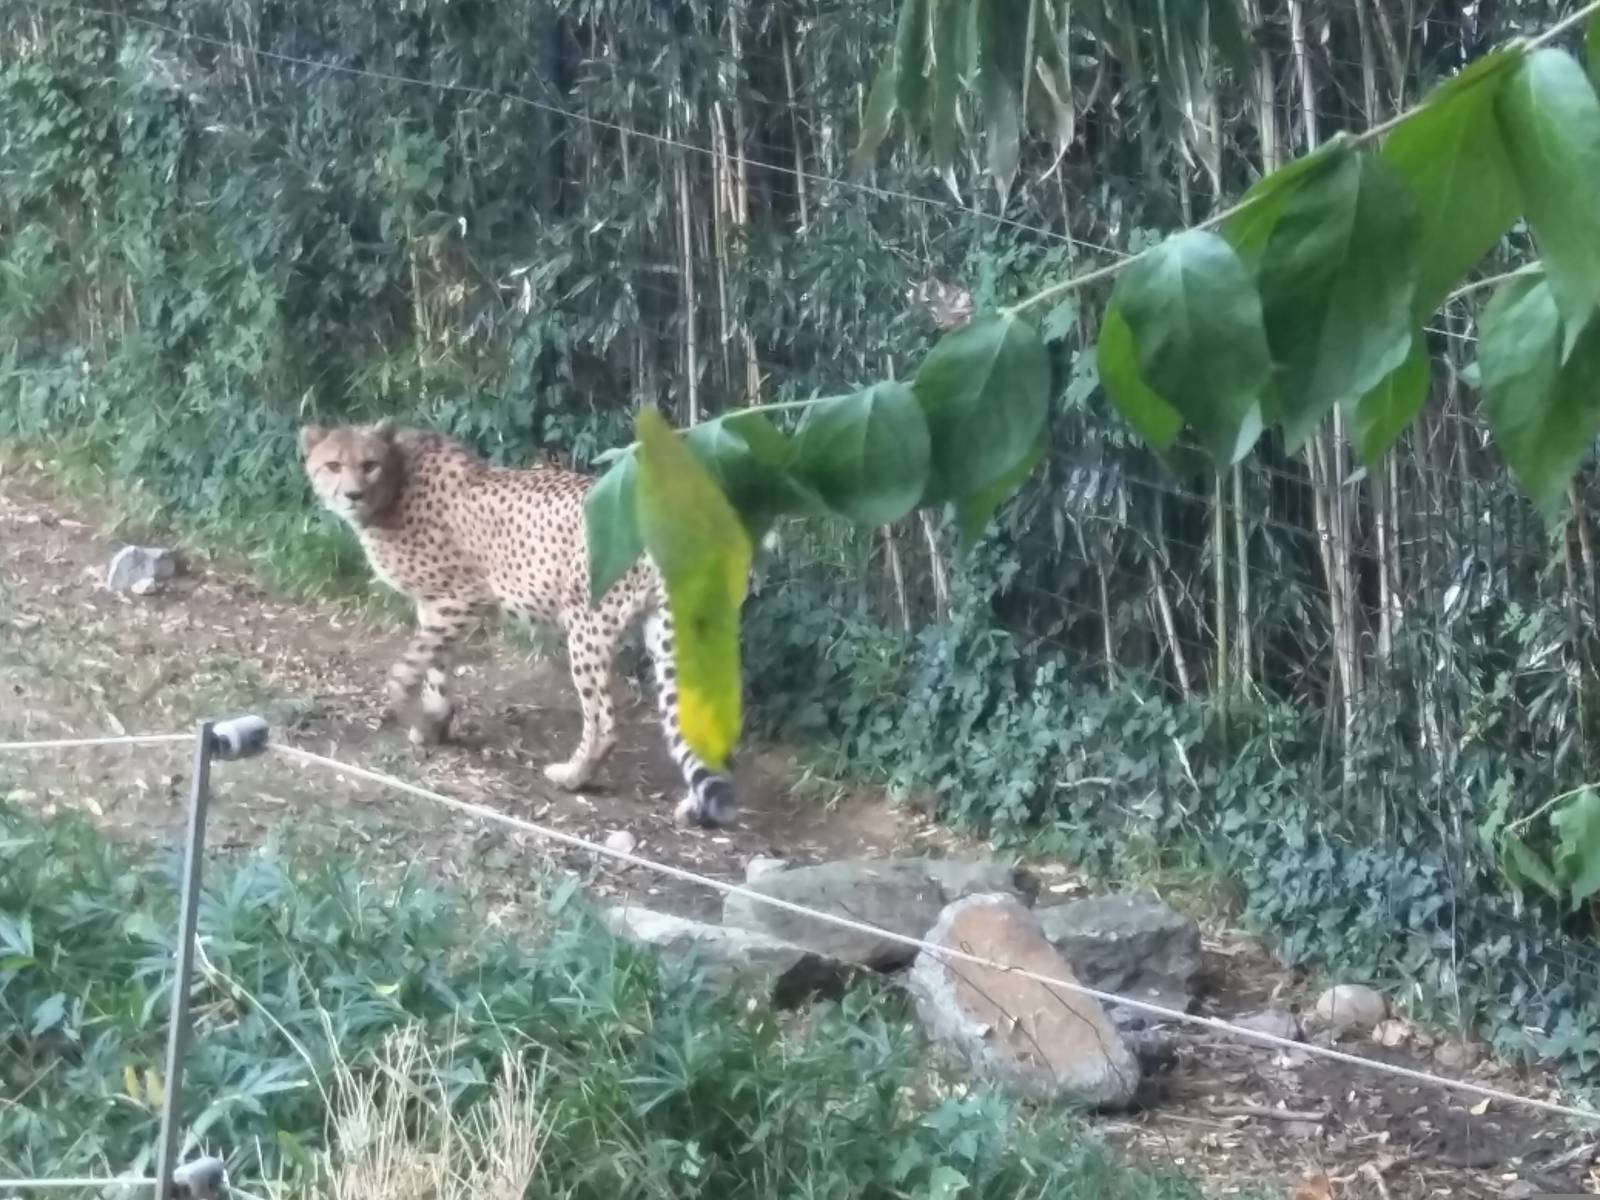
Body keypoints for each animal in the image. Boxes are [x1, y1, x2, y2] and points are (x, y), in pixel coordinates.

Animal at [297, 417, 738, 829]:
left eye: (369, 465)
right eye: (333, 465)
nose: (353, 494)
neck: (397, 480)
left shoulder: (463, 598)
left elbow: (403, 671)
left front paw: (417, 722)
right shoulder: (436, 605)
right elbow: (436, 668)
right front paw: (437, 723)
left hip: (586, 624)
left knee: (604, 720)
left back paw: (572, 776)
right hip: (665, 628)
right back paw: (694, 808)